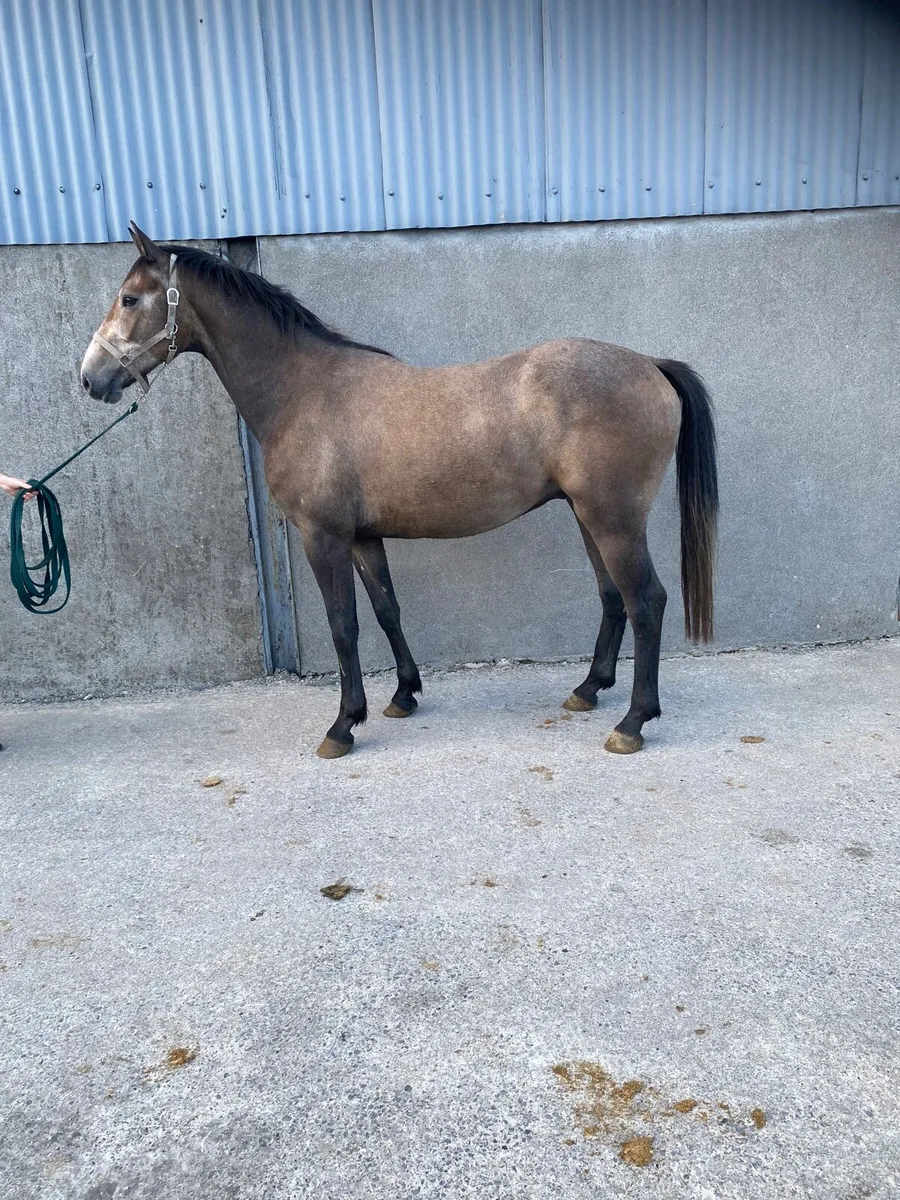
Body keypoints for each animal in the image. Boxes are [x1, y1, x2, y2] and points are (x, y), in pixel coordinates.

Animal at [80, 223, 718, 760]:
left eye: (130, 299)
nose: (90, 379)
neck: (303, 392)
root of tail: (650, 366)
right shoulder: (363, 537)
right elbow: (387, 611)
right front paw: (403, 695)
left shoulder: (323, 538)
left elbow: (344, 626)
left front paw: (342, 725)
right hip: (590, 517)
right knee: (613, 598)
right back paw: (588, 689)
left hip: (613, 520)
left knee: (646, 601)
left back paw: (632, 722)